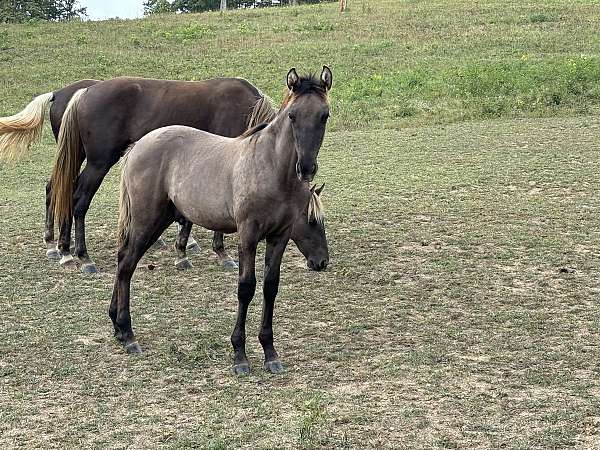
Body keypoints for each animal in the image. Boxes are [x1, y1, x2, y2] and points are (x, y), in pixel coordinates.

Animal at [113, 67, 332, 374]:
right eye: (292, 115)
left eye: (324, 115)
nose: (306, 168)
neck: (271, 170)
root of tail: (137, 146)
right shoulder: (248, 236)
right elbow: (246, 288)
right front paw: (240, 355)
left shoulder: (279, 236)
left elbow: (270, 287)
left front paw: (270, 353)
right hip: (148, 221)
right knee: (126, 265)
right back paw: (128, 333)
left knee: (124, 259)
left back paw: (117, 329)